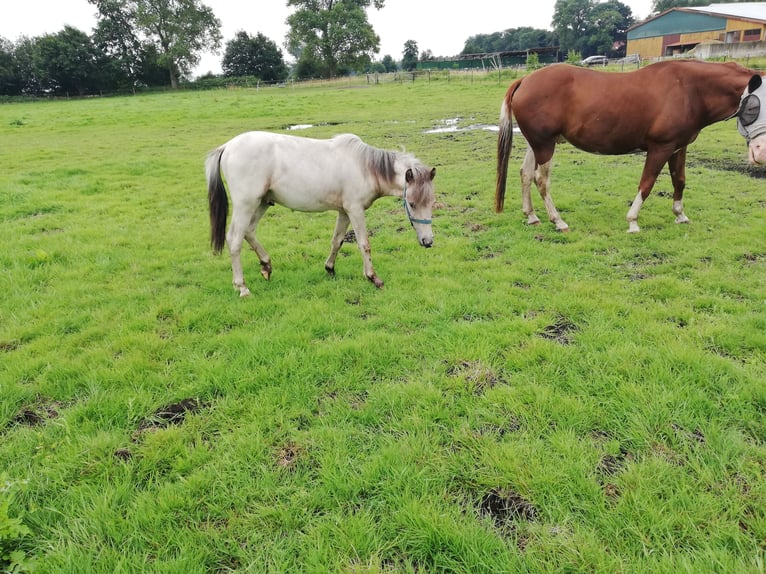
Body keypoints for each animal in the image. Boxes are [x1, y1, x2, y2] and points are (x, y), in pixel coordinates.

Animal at [207, 133, 438, 296]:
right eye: (411, 203)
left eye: (431, 202)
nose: (428, 242)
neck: (365, 168)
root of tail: (227, 146)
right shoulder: (355, 210)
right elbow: (364, 244)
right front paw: (373, 278)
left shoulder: (344, 212)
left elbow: (337, 241)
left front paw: (330, 269)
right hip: (246, 205)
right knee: (235, 239)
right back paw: (242, 287)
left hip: (262, 203)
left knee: (249, 231)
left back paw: (266, 266)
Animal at [496, 61, 764, 234]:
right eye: (754, 107)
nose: (760, 152)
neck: (689, 90)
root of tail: (525, 80)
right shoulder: (660, 148)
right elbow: (647, 184)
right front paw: (633, 221)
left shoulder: (678, 148)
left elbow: (679, 181)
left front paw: (680, 215)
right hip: (545, 145)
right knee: (541, 179)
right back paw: (557, 220)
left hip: (537, 143)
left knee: (525, 174)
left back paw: (532, 216)